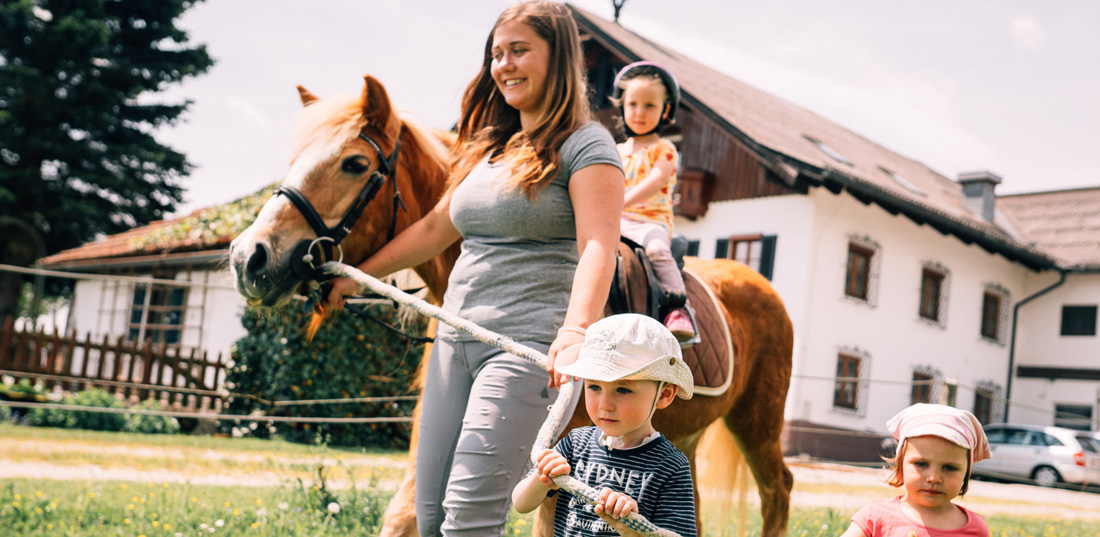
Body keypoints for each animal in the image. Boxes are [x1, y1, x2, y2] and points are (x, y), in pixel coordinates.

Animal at [227, 76, 796, 537]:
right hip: (688, 432)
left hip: (758, 422)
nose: (248, 256)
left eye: (355, 163)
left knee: (779, 489)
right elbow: (406, 513)